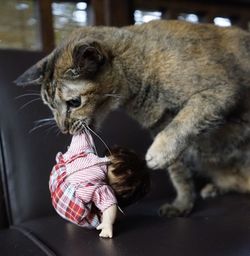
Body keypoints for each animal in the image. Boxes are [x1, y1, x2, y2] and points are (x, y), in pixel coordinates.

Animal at [15, 19, 250, 216]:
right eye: (49, 106)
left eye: (74, 102)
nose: (63, 128)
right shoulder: (159, 124)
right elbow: (178, 173)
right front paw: (182, 204)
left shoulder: (222, 91)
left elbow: (184, 120)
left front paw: (159, 152)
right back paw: (214, 188)